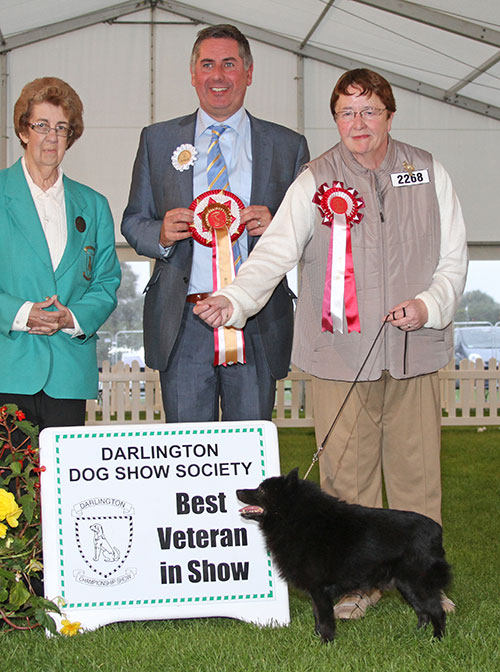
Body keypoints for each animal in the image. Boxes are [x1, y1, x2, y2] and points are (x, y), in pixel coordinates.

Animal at [236, 468, 452, 640]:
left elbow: (325, 619)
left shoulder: (320, 589)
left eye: (262, 490)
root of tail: (437, 531)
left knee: (437, 612)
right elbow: (317, 616)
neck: (297, 519)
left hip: (417, 584)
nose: (238, 490)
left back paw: (437, 639)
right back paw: (417, 635)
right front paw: (316, 638)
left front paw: (326, 643)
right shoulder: (316, 591)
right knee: (422, 612)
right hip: (406, 585)